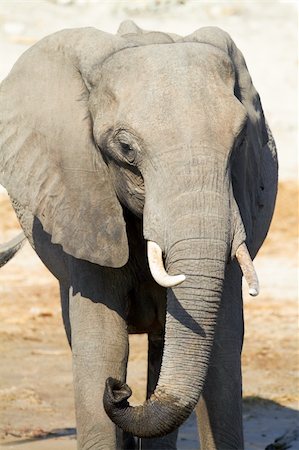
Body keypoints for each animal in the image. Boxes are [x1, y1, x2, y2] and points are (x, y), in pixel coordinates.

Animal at [0, 20, 278, 450]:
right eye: (126, 148)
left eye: (239, 142)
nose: (118, 391)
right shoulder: (84, 206)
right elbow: (103, 345)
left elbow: (223, 349)